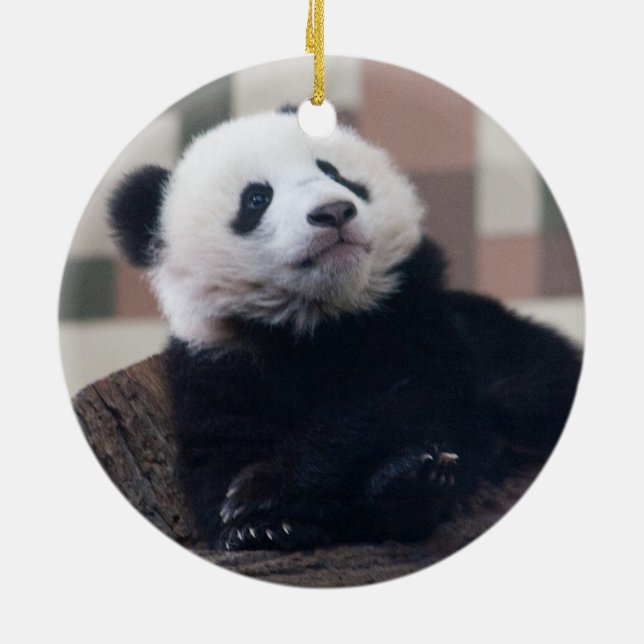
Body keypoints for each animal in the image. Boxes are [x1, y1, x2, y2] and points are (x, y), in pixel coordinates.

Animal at [109, 109, 582, 551]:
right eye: (257, 198)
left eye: (335, 173)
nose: (333, 211)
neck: (316, 320)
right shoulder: (221, 359)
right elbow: (218, 452)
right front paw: (256, 526)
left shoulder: (416, 319)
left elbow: (405, 401)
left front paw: (263, 489)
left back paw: (417, 482)